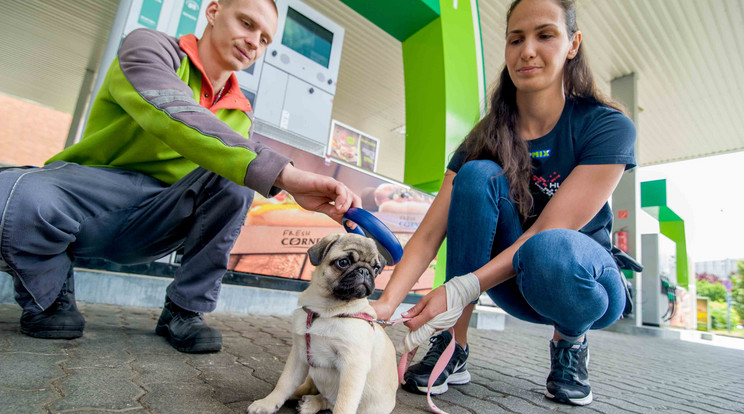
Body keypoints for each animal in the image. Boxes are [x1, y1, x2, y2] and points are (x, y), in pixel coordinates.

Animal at [247, 233, 398, 414]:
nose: (365, 271)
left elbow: (344, 404)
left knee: (330, 402)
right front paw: (268, 403)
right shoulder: (299, 354)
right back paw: (299, 396)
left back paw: (310, 403)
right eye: (343, 262)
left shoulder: (353, 366)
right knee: (307, 388)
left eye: (376, 269)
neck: (326, 310)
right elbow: (284, 382)